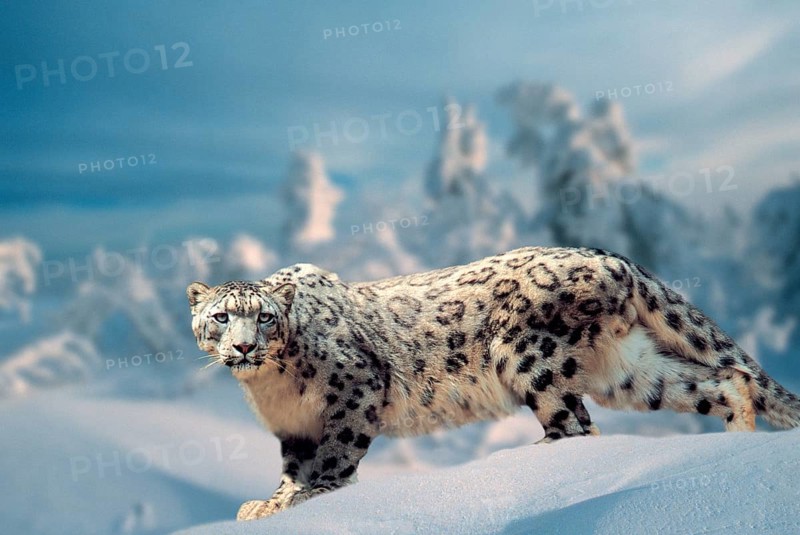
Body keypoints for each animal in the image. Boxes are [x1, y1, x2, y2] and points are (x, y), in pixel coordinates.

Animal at [186, 246, 800, 521]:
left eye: (266, 318)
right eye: (222, 317)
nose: (244, 347)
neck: (272, 388)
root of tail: (614, 258)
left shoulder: (354, 390)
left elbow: (336, 458)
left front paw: (308, 500)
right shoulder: (294, 429)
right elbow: (292, 468)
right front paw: (270, 503)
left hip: (527, 356)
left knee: (575, 425)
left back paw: (522, 460)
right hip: (628, 370)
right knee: (723, 381)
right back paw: (738, 439)